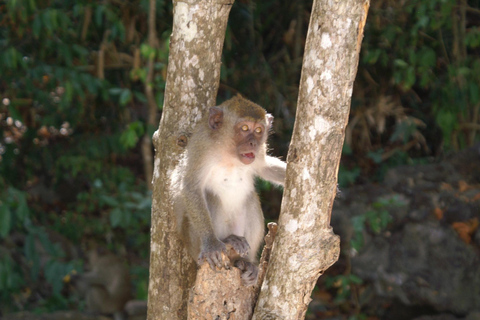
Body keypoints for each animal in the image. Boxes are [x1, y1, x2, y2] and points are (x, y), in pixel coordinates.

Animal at [172, 94, 284, 284]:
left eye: (259, 130)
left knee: (250, 198)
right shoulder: (201, 146)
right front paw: (211, 244)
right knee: (211, 196)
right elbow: (191, 186)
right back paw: (226, 240)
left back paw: (247, 262)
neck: (228, 152)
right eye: (245, 128)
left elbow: (264, 168)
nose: (253, 143)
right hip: (194, 245)